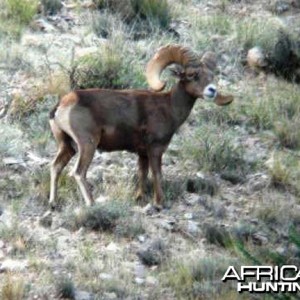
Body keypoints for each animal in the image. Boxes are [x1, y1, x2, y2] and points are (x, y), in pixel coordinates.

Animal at [49, 44, 233, 210]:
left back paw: (53, 203)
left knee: (56, 167)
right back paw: (91, 203)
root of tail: (63, 105)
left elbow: (142, 174)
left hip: (67, 146)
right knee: (79, 172)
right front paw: (159, 203)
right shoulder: (155, 149)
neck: (169, 107)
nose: (212, 90)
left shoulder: (142, 154)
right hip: (87, 144)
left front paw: (139, 199)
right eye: (192, 75)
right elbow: (157, 174)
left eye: (211, 76)